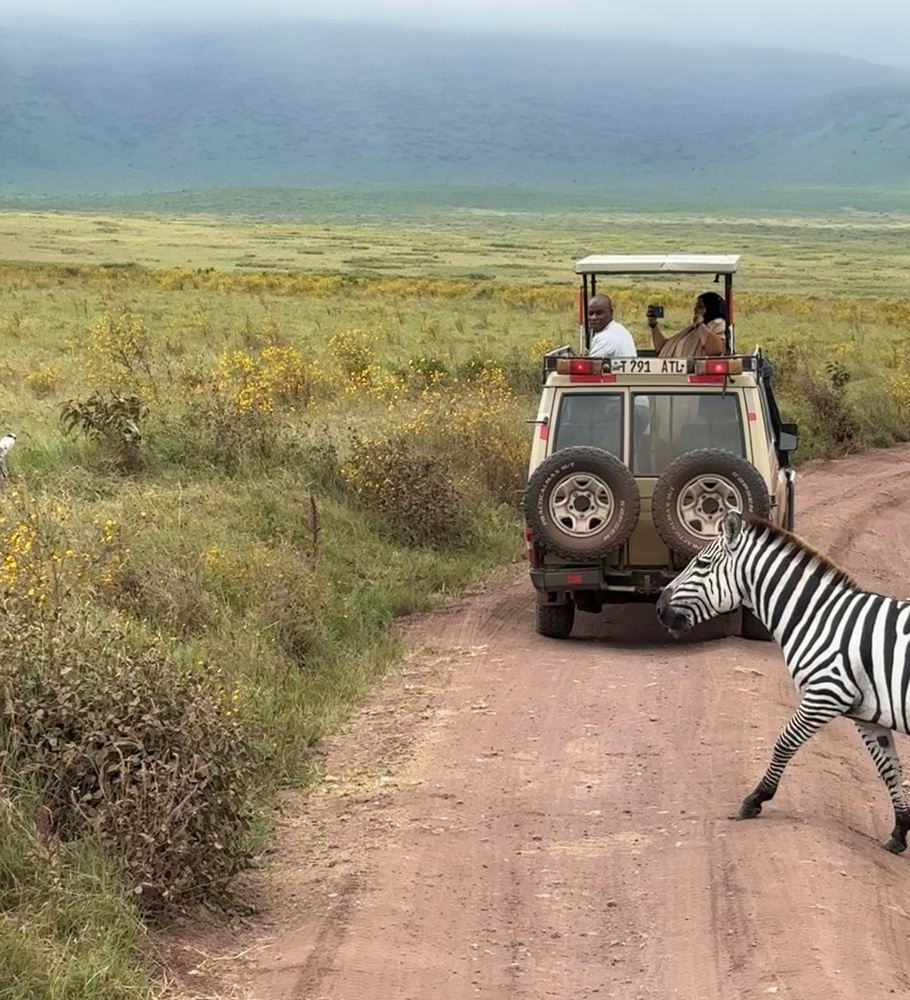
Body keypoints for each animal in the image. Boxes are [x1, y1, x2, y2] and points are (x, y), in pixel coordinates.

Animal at [660, 516, 910, 852]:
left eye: (701, 563)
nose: (659, 609)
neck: (816, 618)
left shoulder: (825, 692)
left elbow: (784, 742)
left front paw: (755, 799)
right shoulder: (866, 712)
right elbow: (889, 768)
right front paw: (899, 830)